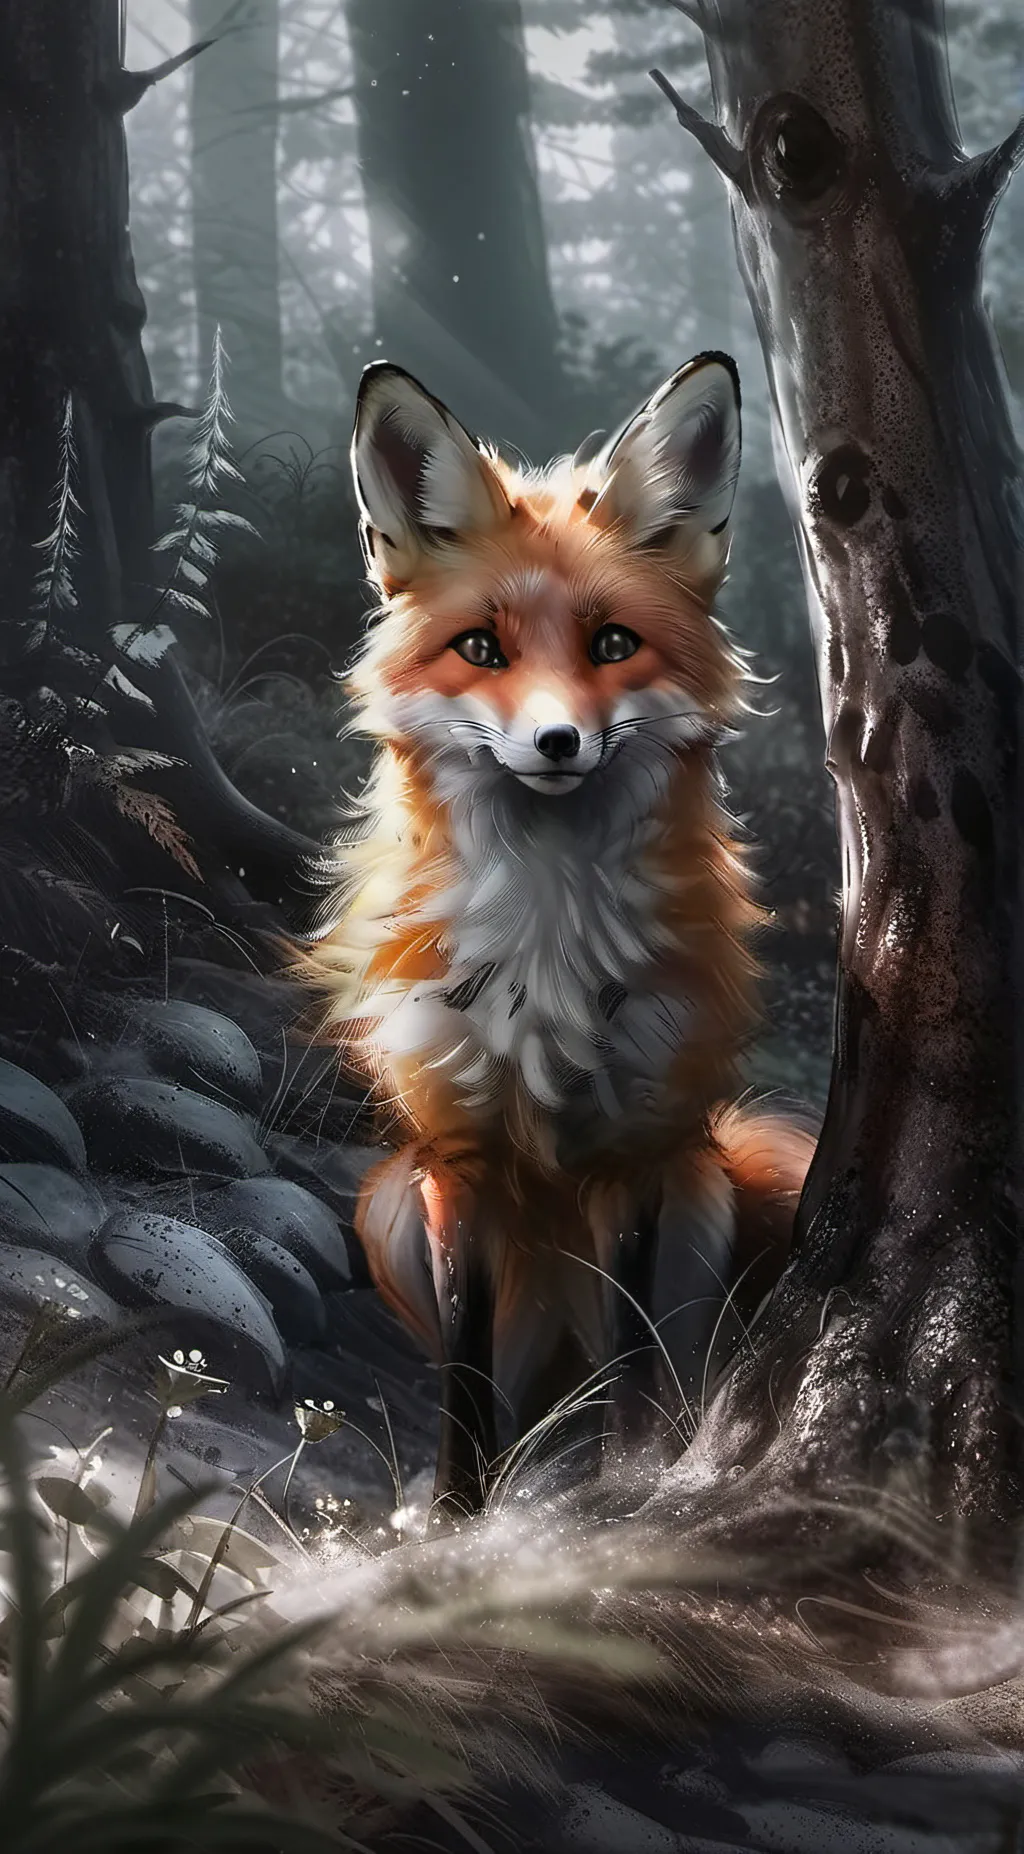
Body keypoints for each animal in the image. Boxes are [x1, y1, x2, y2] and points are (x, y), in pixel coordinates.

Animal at [300, 353, 816, 1520]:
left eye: (612, 644)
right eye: (481, 648)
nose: (556, 740)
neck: (545, 951)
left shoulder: (630, 1157)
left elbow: (629, 1360)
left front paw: (628, 1485)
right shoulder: (456, 1162)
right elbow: (462, 1368)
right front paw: (458, 1514)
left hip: (702, 1190)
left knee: (653, 1367)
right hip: (386, 1202)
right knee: (517, 1390)